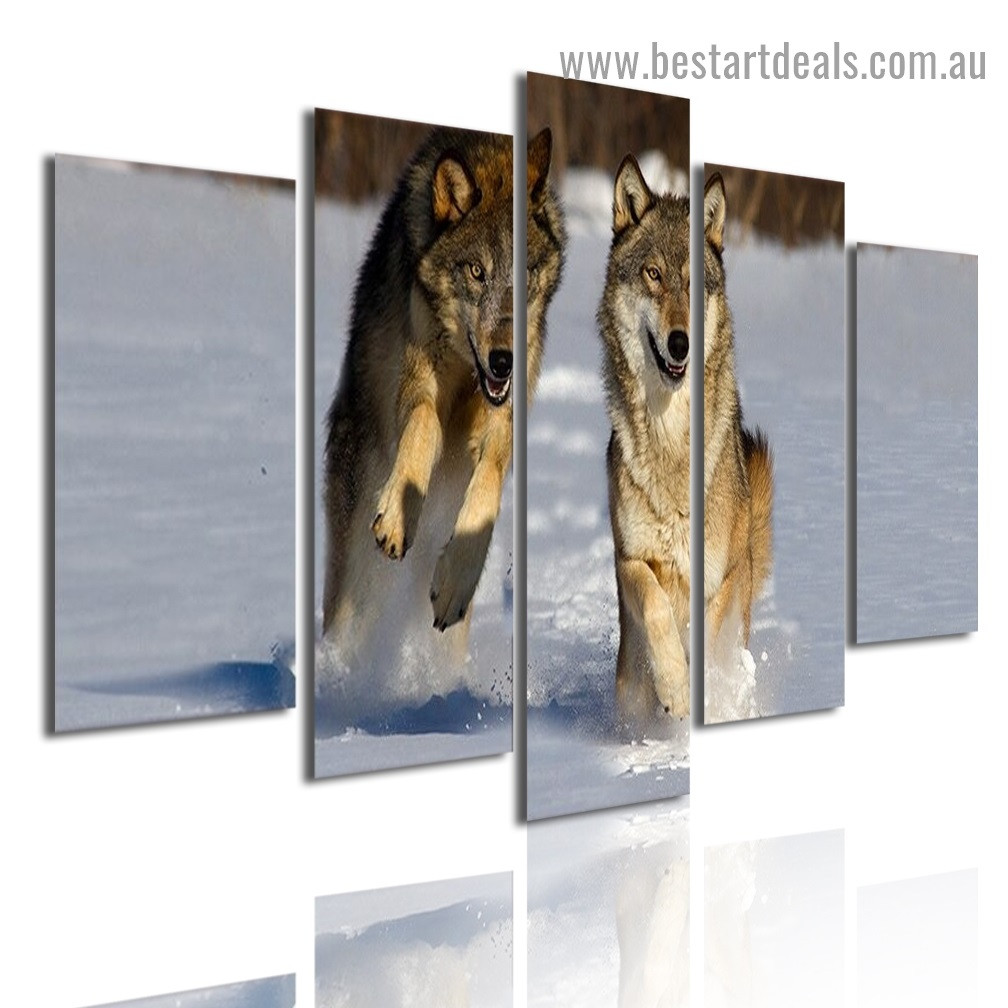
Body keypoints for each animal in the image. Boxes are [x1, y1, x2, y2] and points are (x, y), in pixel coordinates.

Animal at [321, 126, 563, 672]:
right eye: (476, 271)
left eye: (524, 273)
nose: (503, 361)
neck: (464, 363)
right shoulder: (418, 382)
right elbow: (425, 424)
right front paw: (396, 517)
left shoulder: (502, 419)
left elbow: (490, 477)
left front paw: (454, 584)